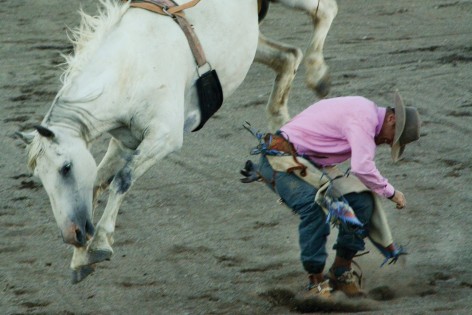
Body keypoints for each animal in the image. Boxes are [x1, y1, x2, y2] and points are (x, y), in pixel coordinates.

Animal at [17, 0, 336, 284]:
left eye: (65, 168)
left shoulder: (165, 136)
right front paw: (81, 257)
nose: (72, 234)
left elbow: (123, 179)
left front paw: (102, 241)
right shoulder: (124, 143)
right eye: (41, 179)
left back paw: (317, 74)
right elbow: (98, 182)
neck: (130, 68)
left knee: (325, 11)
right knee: (288, 56)